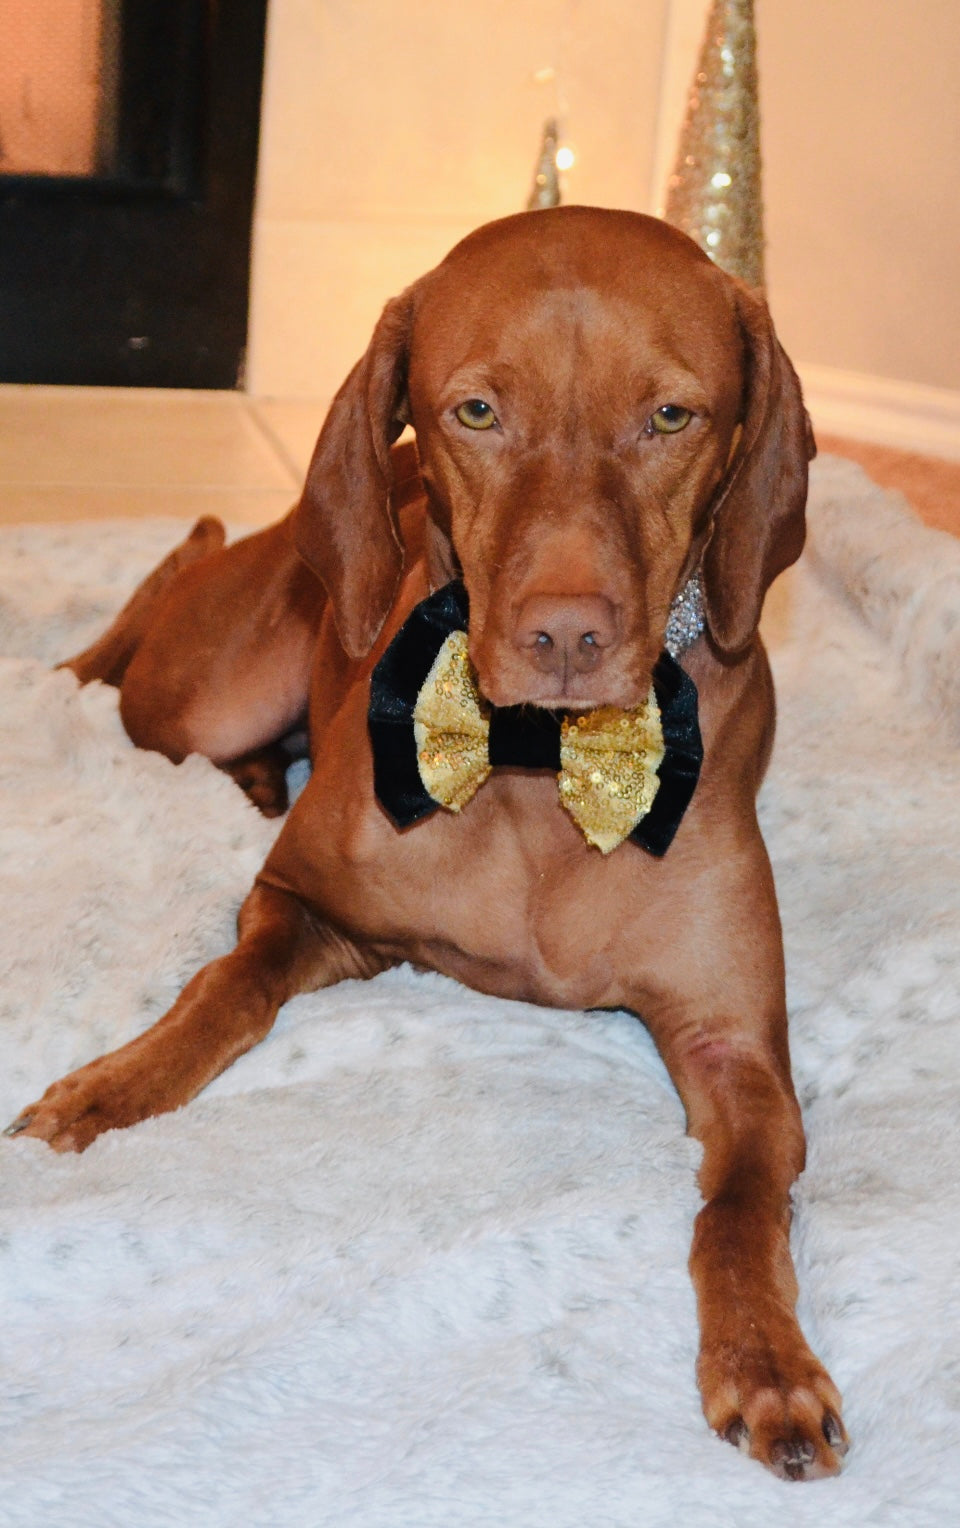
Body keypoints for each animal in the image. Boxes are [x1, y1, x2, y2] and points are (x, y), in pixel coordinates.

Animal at [7, 206, 849, 1479]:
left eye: (671, 415)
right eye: (478, 411)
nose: (567, 634)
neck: (535, 765)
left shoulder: (734, 1047)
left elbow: (741, 1206)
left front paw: (768, 1360)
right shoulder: (308, 907)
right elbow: (220, 991)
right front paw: (109, 1089)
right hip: (203, 695)